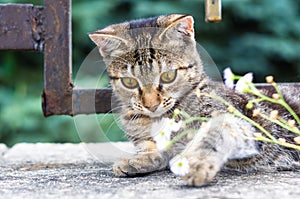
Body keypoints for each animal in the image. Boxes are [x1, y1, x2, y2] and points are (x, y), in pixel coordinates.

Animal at [89, 14, 300, 187]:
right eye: (130, 82)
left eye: (168, 76)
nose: (151, 105)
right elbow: (154, 149)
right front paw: (141, 159)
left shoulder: (243, 125)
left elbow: (211, 136)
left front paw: (198, 163)